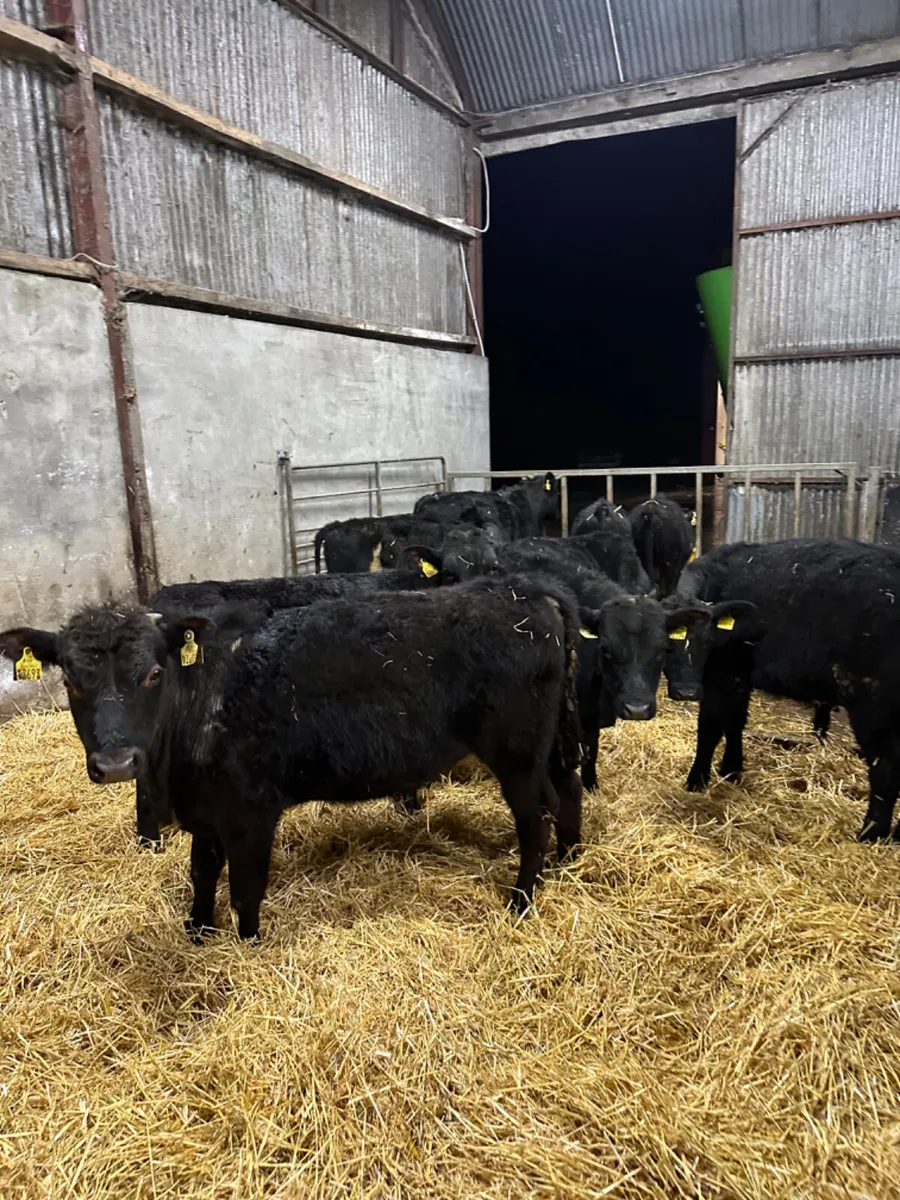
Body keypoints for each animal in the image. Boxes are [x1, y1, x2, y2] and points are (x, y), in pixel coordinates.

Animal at [1, 574, 588, 938]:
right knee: (564, 793)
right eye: (72, 681)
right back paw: (567, 861)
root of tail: (523, 592)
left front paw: (247, 946)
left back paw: (522, 899)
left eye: (152, 673)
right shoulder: (208, 814)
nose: (118, 763)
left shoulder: (251, 814)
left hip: (516, 752)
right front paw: (197, 931)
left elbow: (245, 890)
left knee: (533, 817)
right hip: (547, 747)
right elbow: (201, 872)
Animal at [677, 537, 900, 842]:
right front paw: (731, 770)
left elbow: (709, 728)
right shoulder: (739, 673)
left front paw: (696, 781)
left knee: (886, 767)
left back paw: (871, 832)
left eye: (705, 640)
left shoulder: (721, 672)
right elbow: (735, 722)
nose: (685, 690)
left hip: (874, 704)